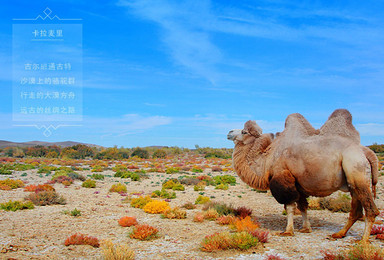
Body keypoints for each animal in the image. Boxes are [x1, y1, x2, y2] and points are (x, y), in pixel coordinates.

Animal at [226, 109, 380, 242]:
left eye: (244, 131)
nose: (229, 132)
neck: (267, 158)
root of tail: (366, 152)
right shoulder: (298, 184)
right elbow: (303, 207)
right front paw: (306, 229)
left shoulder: (283, 179)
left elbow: (289, 207)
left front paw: (288, 231)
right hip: (353, 180)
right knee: (356, 211)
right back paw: (339, 234)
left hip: (356, 170)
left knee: (371, 210)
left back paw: (363, 241)